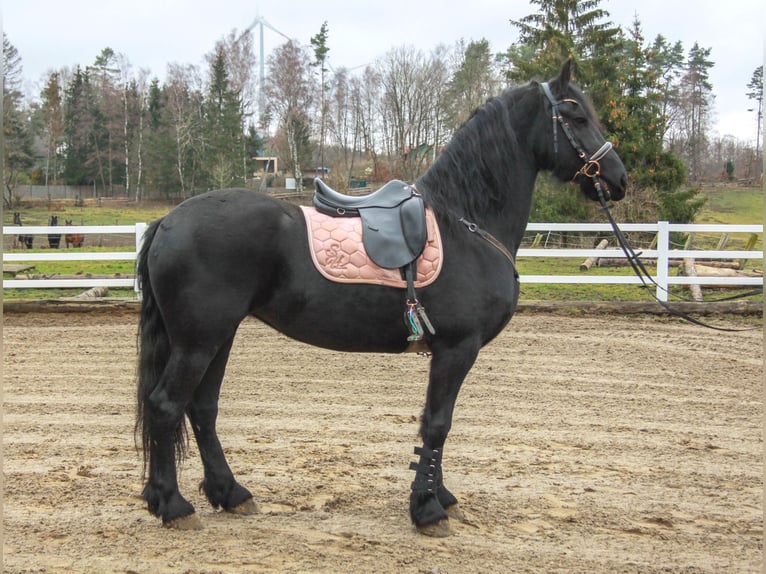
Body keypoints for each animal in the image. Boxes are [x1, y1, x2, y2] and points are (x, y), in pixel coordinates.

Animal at [136, 60, 632, 532]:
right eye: (576, 115)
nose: (619, 179)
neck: (467, 222)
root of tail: (167, 221)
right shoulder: (458, 348)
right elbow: (438, 423)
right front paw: (427, 509)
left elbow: (435, 424)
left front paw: (439, 495)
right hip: (198, 341)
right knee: (165, 406)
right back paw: (173, 505)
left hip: (218, 337)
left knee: (202, 408)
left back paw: (228, 493)